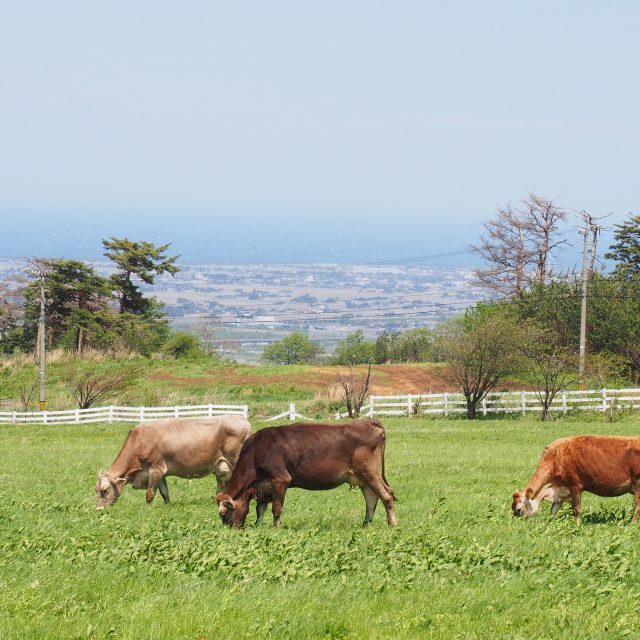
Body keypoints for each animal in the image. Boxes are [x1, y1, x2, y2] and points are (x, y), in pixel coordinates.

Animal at [95, 416, 250, 510]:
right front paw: (167, 506)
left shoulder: (156, 469)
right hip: (221, 467)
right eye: (95, 490)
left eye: (105, 490)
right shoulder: (161, 474)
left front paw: (147, 509)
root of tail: (240, 417)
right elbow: (164, 492)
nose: (99, 509)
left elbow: (150, 493)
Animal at [215, 418, 396, 528]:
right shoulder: (263, 486)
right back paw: (366, 524)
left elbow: (276, 508)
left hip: (369, 472)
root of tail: (368, 421)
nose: (230, 530)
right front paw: (258, 526)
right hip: (363, 477)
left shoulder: (280, 479)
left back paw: (392, 523)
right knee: (372, 498)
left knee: (386, 495)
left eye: (224, 513)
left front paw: (275, 528)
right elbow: (260, 509)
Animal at [512, 436, 640, 524]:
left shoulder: (574, 486)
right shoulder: (559, 491)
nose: (516, 525)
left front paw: (577, 526)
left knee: (637, 508)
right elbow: (553, 510)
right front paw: (551, 523)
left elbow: (576, 509)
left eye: (518, 509)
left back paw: (632, 524)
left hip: (638, 485)